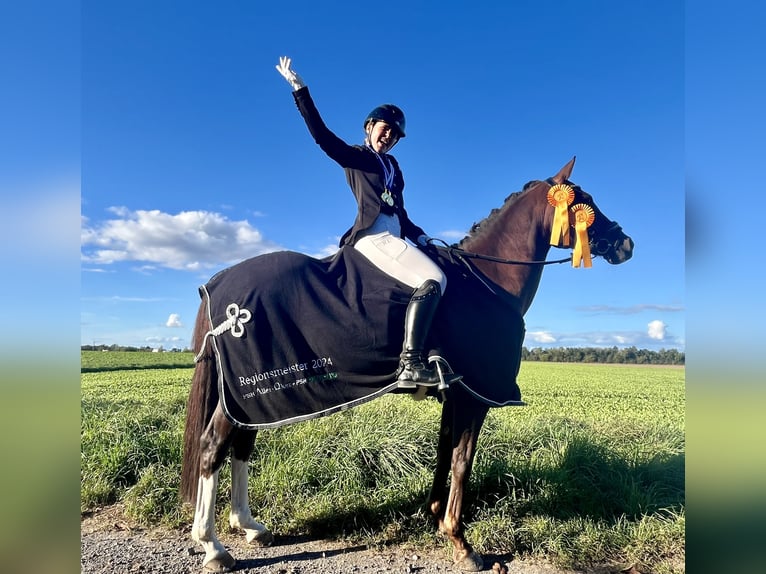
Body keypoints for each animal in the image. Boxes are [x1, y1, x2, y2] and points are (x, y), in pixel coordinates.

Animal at [180, 155, 636, 572]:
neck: (488, 282)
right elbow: (461, 462)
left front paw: (436, 517)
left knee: (241, 446)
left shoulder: (455, 395)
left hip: (250, 400)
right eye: (583, 200)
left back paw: (249, 527)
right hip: (251, 393)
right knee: (213, 447)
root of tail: (219, 283)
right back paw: (214, 547)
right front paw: (461, 543)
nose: (627, 244)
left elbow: (444, 454)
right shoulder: (475, 399)